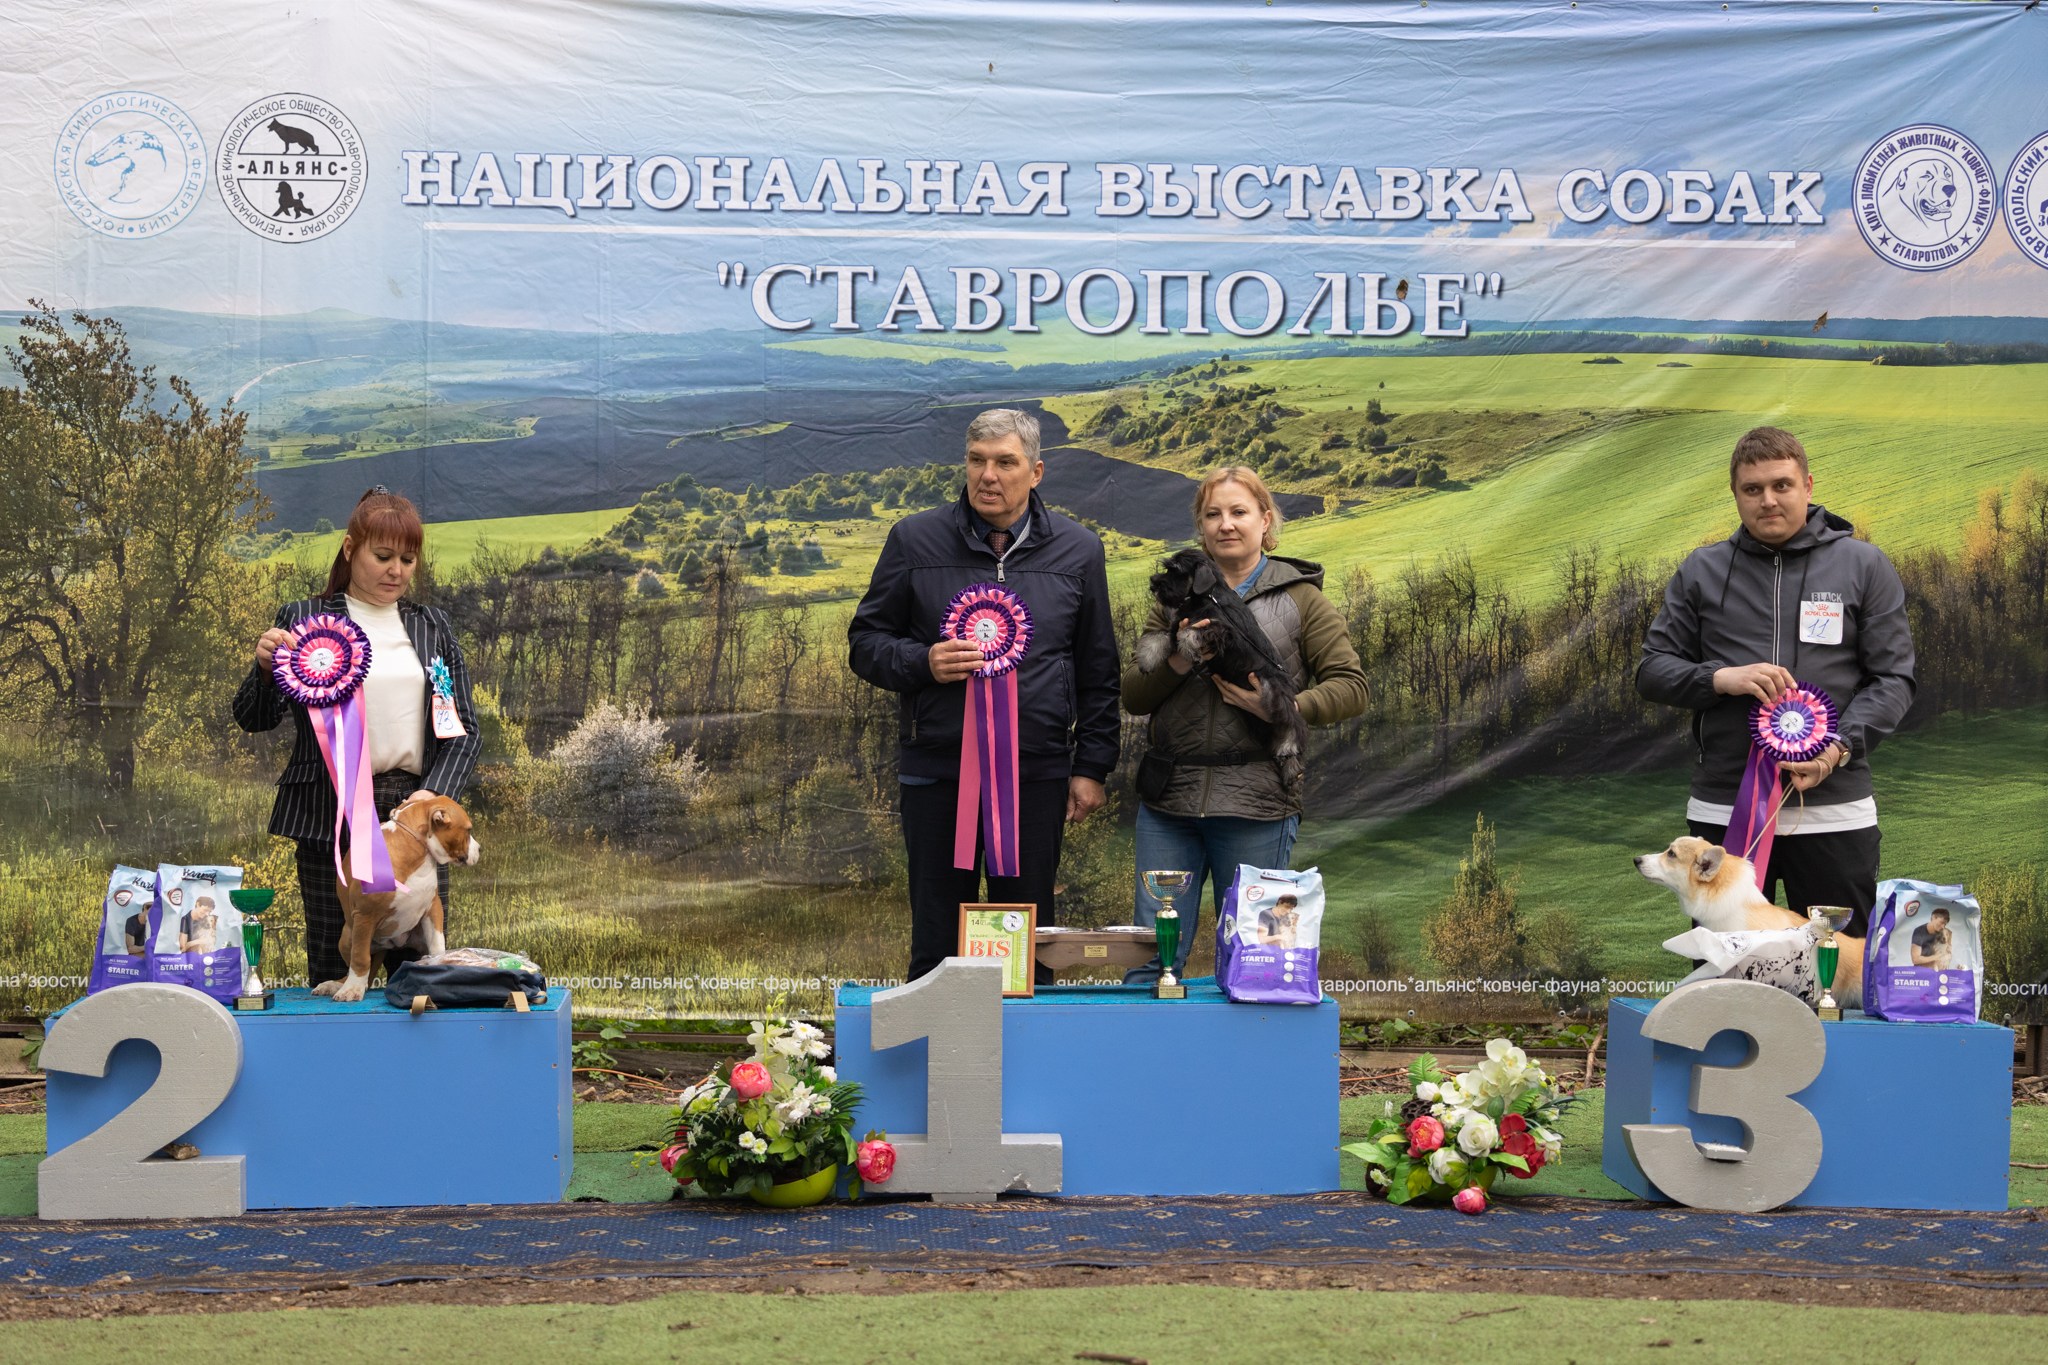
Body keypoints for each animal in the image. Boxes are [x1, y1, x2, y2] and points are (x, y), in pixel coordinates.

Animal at [317, 789, 481, 1002]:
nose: (480, 849)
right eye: (468, 830)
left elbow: (438, 945)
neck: (415, 851)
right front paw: (351, 990)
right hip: (347, 935)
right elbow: (360, 958)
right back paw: (338, 985)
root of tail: (388, 946)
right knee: (358, 965)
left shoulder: (433, 908)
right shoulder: (365, 915)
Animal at [1130, 548, 1302, 765]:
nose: (1153, 584)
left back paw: (1288, 746)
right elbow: (1158, 637)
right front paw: (1146, 659)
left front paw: (1190, 650)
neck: (1207, 596)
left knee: (1291, 720)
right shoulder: (1177, 625)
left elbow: (1190, 633)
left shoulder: (1221, 631)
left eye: (1176, 570)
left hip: (1272, 690)